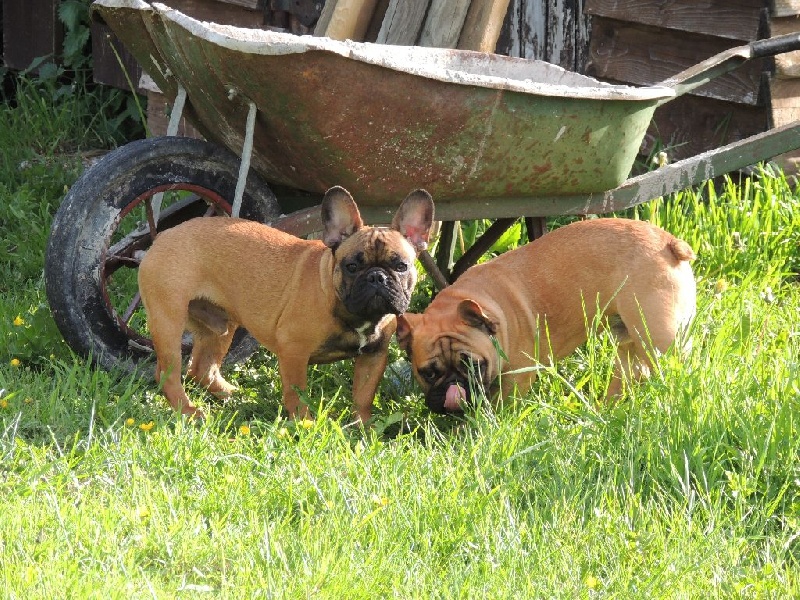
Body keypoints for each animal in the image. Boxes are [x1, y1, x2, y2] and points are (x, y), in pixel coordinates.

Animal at [141, 185, 434, 420]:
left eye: (401, 265)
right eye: (351, 266)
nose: (376, 277)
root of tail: (163, 236)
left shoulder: (374, 356)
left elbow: (363, 397)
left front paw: (363, 427)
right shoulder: (294, 351)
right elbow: (297, 393)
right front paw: (305, 424)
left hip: (219, 326)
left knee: (202, 369)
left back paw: (233, 397)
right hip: (169, 322)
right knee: (168, 374)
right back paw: (189, 412)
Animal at [396, 219, 696, 412]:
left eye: (473, 365)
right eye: (428, 374)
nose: (454, 388)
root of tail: (669, 243)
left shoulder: (516, 379)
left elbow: (502, 404)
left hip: (659, 338)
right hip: (631, 340)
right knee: (631, 372)